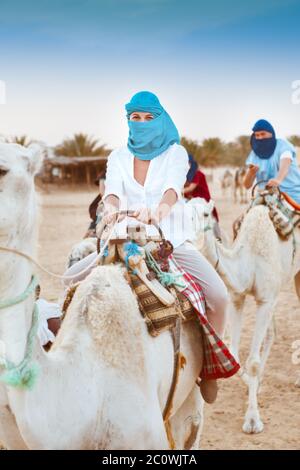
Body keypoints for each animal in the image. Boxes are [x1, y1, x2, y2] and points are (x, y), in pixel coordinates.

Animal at [188, 197, 300, 434]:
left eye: (205, 214)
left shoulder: (265, 299)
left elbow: (253, 362)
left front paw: (252, 420)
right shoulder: (237, 297)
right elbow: (235, 355)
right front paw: (254, 387)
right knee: (271, 332)